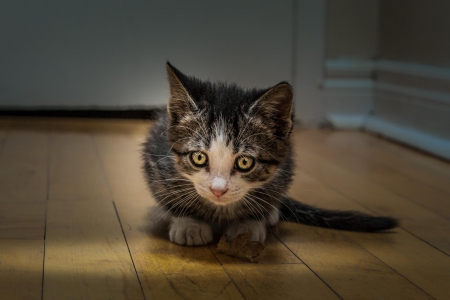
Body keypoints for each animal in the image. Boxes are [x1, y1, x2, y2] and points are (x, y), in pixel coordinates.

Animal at [142, 63, 398, 246]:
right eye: (199, 157)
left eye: (245, 162)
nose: (218, 190)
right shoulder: (156, 158)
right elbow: (168, 193)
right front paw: (189, 224)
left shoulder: (285, 168)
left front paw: (248, 225)